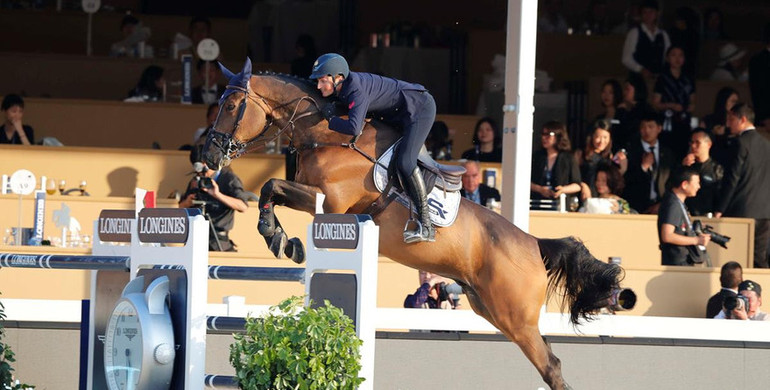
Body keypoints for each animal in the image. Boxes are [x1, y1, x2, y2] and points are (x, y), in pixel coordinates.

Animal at [202, 61, 624, 390]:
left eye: (233, 105)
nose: (209, 155)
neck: (325, 135)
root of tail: (535, 243)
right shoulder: (318, 200)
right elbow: (271, 191)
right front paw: (280, 239)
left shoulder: (330, 202)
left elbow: (270, 185)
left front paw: (279, 239)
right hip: (488, 308)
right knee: (548, 360)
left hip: (514, 317)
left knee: (550, 366)